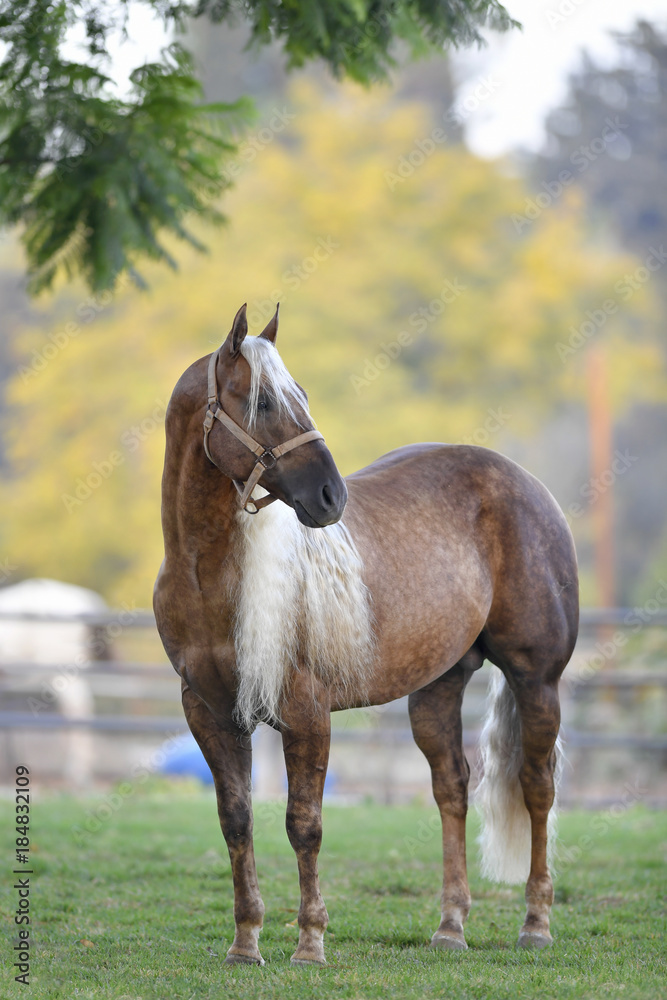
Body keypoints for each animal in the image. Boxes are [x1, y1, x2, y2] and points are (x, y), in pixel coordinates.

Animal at [154, 303, 579, 966]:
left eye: (301, 395)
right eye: (262, 402)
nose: (332, 496)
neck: (211, 575)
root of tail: (526, 484)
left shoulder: (306, 713)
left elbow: (304, 825)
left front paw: (310, 943)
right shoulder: (209, 712)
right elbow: (236, 821)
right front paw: (246, 943)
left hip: (537, 680)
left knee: (537, 788)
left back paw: (535, 924)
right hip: (438, 686)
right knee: (452, 788)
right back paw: (450, 927)